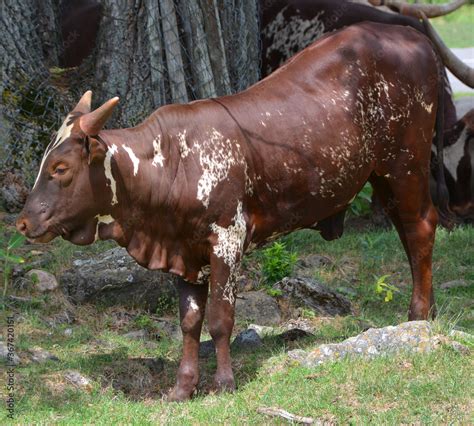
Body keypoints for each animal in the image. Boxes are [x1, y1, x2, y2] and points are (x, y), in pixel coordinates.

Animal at [17, 23, 440, 402]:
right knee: (408, 234)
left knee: (420, 227)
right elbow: (190, 322)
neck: (173, 161)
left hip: (405, 166)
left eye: (60, 168)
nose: (23, 222)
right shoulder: (183, 251)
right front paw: (183, 387)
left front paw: (223, 383)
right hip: (385, 176)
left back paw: (418, 315)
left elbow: (221, 319)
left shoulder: (227, 239)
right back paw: (429, 311)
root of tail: (412, 36)